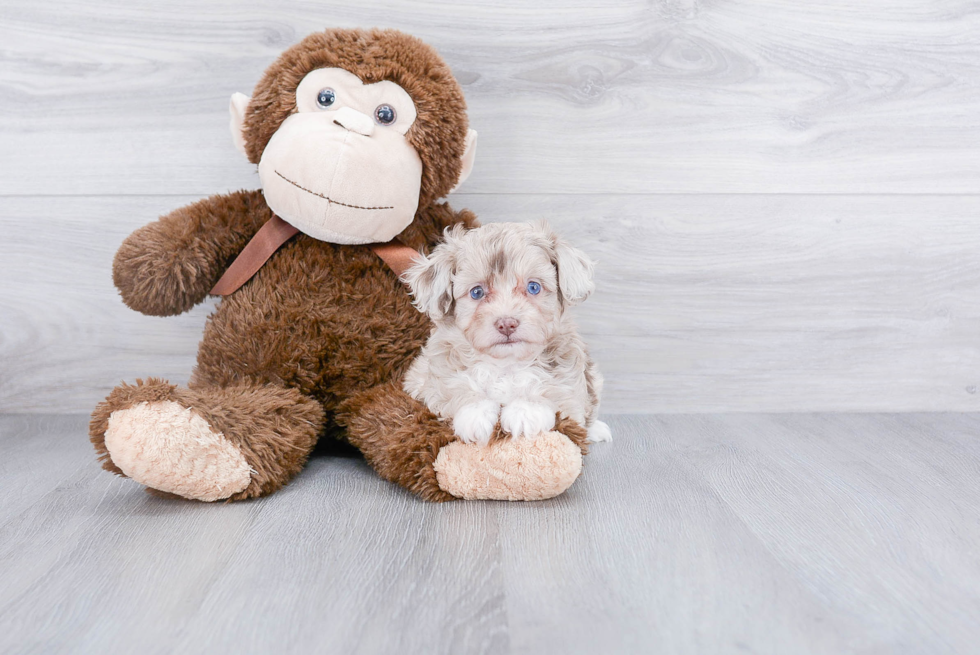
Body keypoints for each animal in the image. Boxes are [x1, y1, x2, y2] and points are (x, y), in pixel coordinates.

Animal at [402, 223, 608, 448]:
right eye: (476, 292)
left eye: (533, 287)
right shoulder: (428, 380)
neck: (506, 365)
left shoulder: (569, 384)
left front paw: (526, 411)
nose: (506, 324)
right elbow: (453, 387)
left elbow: (554, 392)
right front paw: (475, 413)